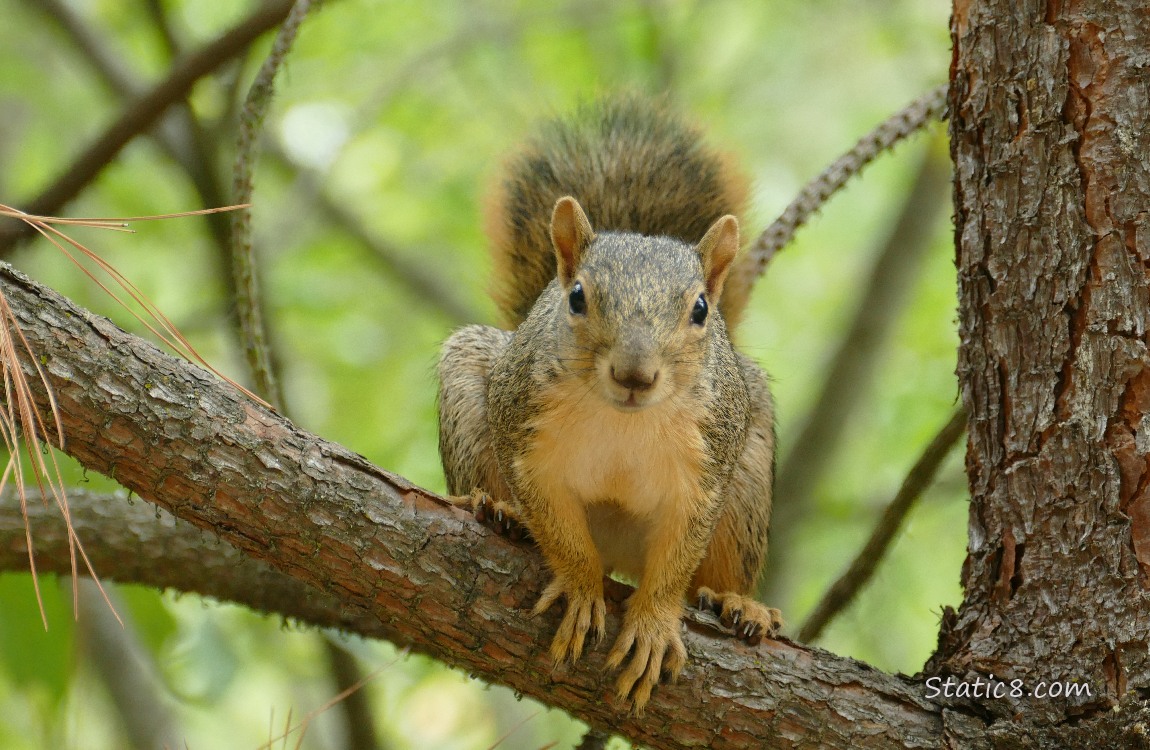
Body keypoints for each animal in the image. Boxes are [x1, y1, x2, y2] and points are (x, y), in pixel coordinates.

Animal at [437, 95, 781, 713]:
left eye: (700, 309)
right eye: (577, 298)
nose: (634, 375)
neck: (625, 421)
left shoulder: (706, 469)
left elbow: (676, 563)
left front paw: (652, 624)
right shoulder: (528, 443)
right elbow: (560, 530)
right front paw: (579, 586)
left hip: (748, 479)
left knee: (715, 568)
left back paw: (736, 602)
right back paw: (496, 508)